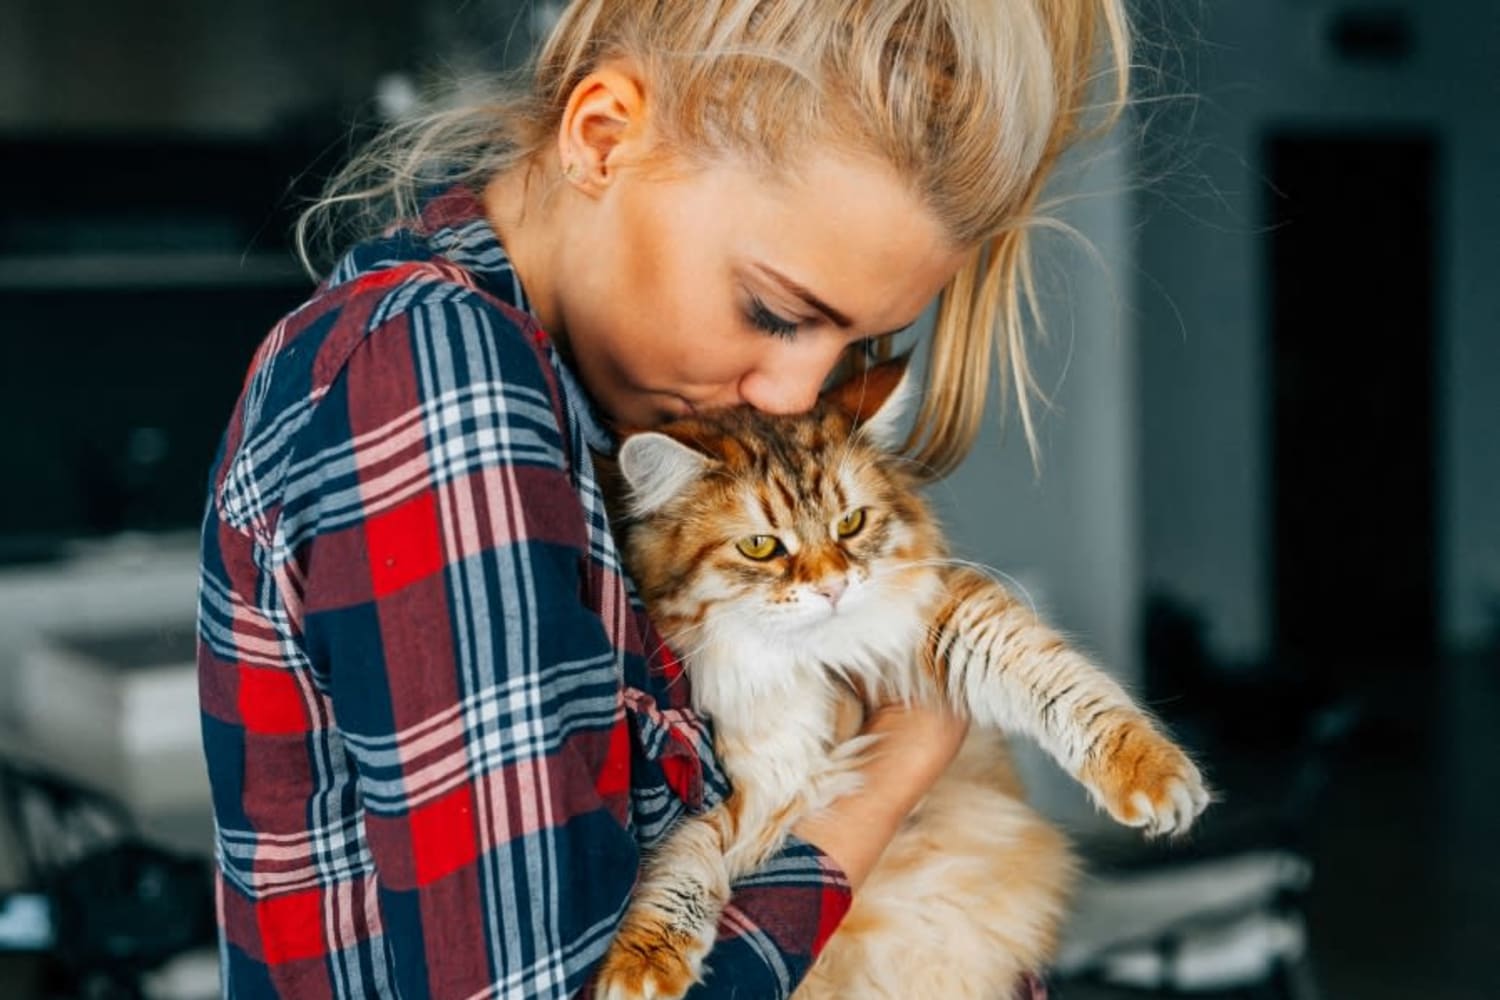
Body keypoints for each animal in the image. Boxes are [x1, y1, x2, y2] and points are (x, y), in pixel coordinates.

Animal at [591, 359, 1212, 1000]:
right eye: (760, 546)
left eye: (850, 523)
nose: (833, 587)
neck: (794, 664)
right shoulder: (726, 776)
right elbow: (682, 855)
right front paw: (641, 961)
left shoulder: (940, 623)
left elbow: (1062, 682)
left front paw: (1153, 774)